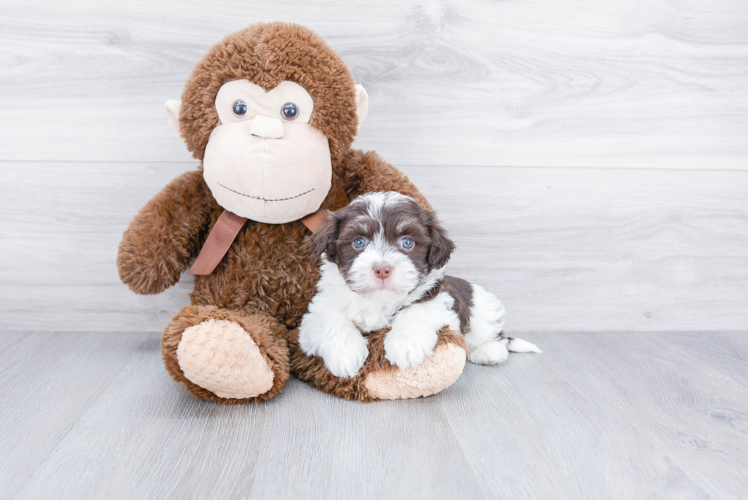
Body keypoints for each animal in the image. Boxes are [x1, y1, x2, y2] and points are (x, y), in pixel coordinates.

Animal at [298, 192, 536, 378]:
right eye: (359, 242)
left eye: (407, 242)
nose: (382, 269)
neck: (379, 300)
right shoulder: (318, 310)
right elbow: (330, 321)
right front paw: (345, 354)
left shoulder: (439, 299)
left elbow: (416, 310)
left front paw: (405, 344)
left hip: (485, 312)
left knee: (495, 338)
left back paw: (488, 353)